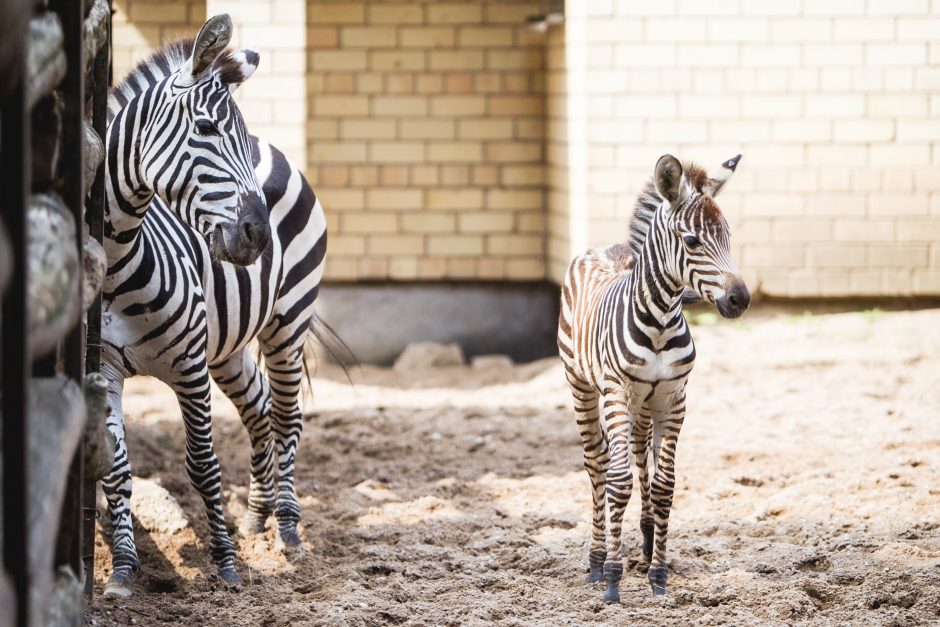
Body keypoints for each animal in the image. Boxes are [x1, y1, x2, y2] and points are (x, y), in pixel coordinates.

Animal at [101, 13, 328, 592]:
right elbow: (115, 466)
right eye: (204, 130)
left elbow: (202, 465)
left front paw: (225, 562)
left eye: (235, 137)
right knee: (260, 410)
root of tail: (275, 147)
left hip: (287, 322)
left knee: (287, 415)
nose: (259, 236)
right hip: (226, 347)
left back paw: (287, 526)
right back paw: (256, 516)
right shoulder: (103, 368)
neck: (115, 261)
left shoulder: (188, 365)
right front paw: (123, 567)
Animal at [560, 152, 748, 604]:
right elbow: (617, 481)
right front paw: (613, 578)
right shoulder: (616, 391)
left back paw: (645, 541)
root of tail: (608, 248)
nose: (741, 299)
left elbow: (663, 485)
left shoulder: (673, 397)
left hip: (643, 404)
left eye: (728, 237)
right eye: (693, 242)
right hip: (582, 386)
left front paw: (658, 574)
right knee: (597, 463)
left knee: (639, 452)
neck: (660, 322)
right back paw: (596, 561)